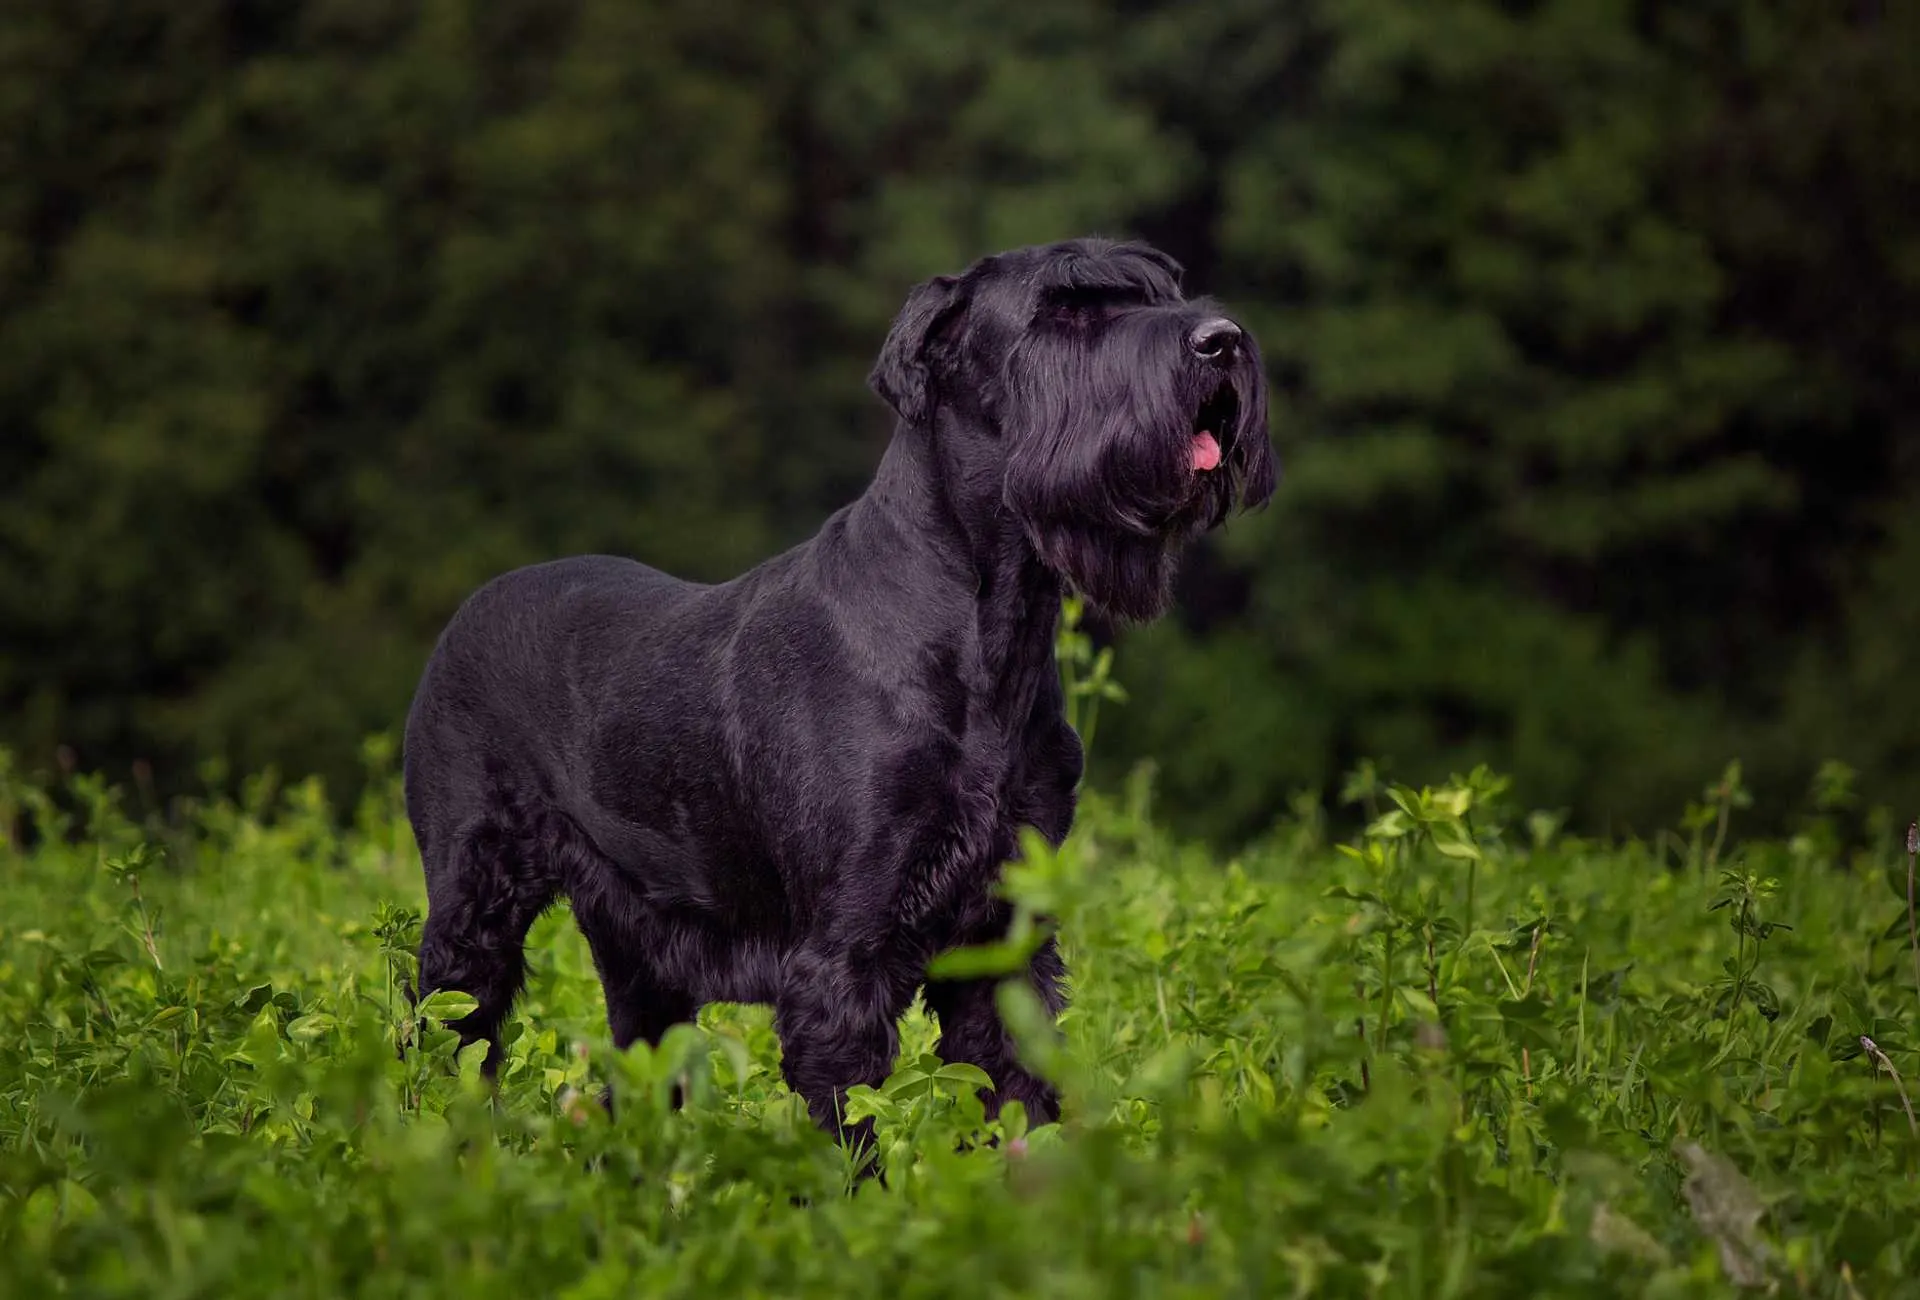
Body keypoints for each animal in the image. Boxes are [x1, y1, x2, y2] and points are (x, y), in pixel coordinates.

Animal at [401, 236, 1274, 1144]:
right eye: (1063, 311)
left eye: (1164, 289)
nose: (1222, 341)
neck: (992, 628)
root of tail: (467, 610)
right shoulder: (843, 957)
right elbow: (852, 1125)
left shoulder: (1007, 939)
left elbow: (1019, 1091)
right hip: (473, 907)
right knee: (448, 1034)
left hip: (640, 946)